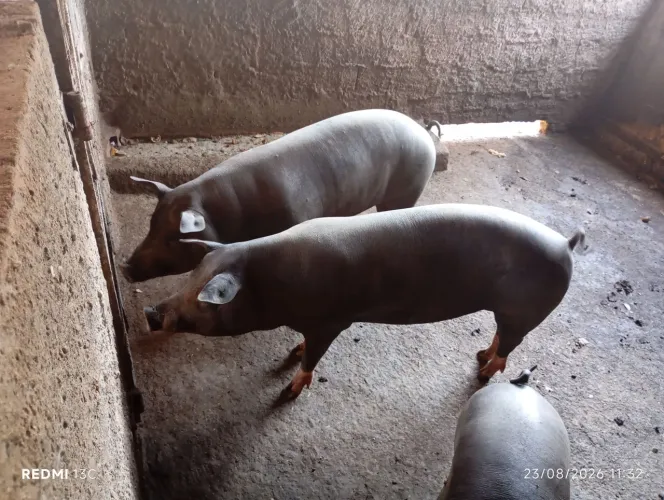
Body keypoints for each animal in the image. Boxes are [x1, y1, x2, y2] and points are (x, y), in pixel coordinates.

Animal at [143, 204, 585, 399]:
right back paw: (479, 356)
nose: (150, 312)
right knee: (499, 339)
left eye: (205, 299)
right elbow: (302, 347)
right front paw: (292, 350)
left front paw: (289, 391)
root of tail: (565, 244)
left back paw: (482, 373)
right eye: (190, 277)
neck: (275, 283)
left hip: (524, 312)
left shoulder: (332, 321)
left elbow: (312, 359)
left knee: (509, 349)